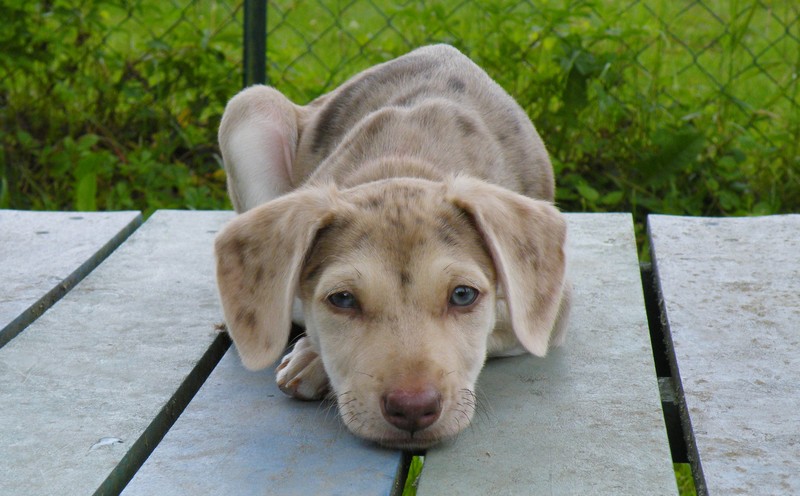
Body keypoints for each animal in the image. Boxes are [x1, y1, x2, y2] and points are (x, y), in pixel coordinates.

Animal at [216, 45, 572, 450]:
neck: (404, 163)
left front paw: (313, 359)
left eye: (463, 295)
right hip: (250, 106)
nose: (413, 409)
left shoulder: (551, 305)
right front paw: (312, 353)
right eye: (342, 299)